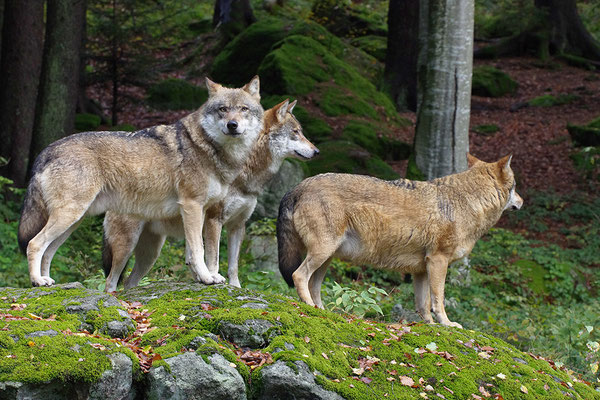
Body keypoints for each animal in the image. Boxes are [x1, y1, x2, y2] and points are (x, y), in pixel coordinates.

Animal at [17, 76, 262, 288]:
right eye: (223, 109)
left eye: (243, 109)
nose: (232, 125)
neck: (209, 147)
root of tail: (46, 151)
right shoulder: (192, 206)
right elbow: (199, 250)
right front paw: (207, 277)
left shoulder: (205, 213)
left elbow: (200, 253)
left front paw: (205, 277)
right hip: (75, 219)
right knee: (34, 244)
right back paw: (37, 281)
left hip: (74, 223)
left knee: (48, 252)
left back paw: (47, 281)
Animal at [101, 97, 322, 290]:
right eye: (296, 132)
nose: (317, 151)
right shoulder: (214, 220)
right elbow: (212, 258)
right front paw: (213, 278)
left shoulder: (237, 225)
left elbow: (233, 265)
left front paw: (235, 287)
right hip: (127, 247)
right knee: (111, 281)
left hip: (151, 253)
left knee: (128, 283)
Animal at [276, 154, 520, 328]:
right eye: (516, 187)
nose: (522, 201)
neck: (467, 202)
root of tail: (298, 186)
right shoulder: (438, 261)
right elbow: (438, 300)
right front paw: (448, 324)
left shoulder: (421, 270)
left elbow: (423, 305)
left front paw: (430, 326)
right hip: (322, 253)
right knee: (299, 276)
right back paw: (309, 307)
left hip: (327, 257)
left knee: (314, 285)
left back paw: (321, 310)